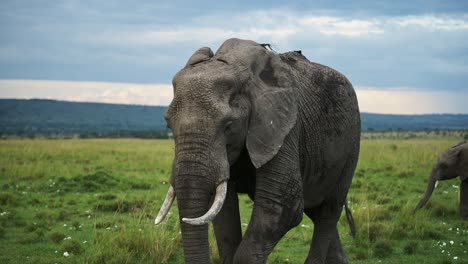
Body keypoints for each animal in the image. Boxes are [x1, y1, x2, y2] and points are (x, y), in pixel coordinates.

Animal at [155, 37, 360, 264]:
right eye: (168, 124)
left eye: (229, 125)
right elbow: (224, 212)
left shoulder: (283, 126)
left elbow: (281, 205)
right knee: (316, 211)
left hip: (351, 144)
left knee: (328, 211)